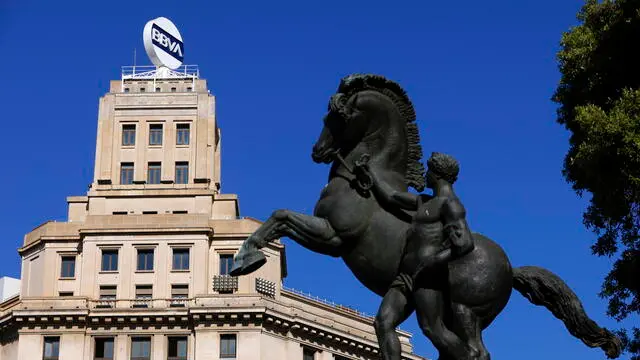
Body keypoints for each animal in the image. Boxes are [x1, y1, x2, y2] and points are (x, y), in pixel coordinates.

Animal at [232, 74, 624, 360]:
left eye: (336, 117)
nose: (318, 150)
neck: (363, 181)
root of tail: (511, 269)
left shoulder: (333, 237)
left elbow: (280, 216)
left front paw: (245, 258)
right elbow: (280, 217)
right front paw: (246, 257)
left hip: (463, 309)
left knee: (472, 352)